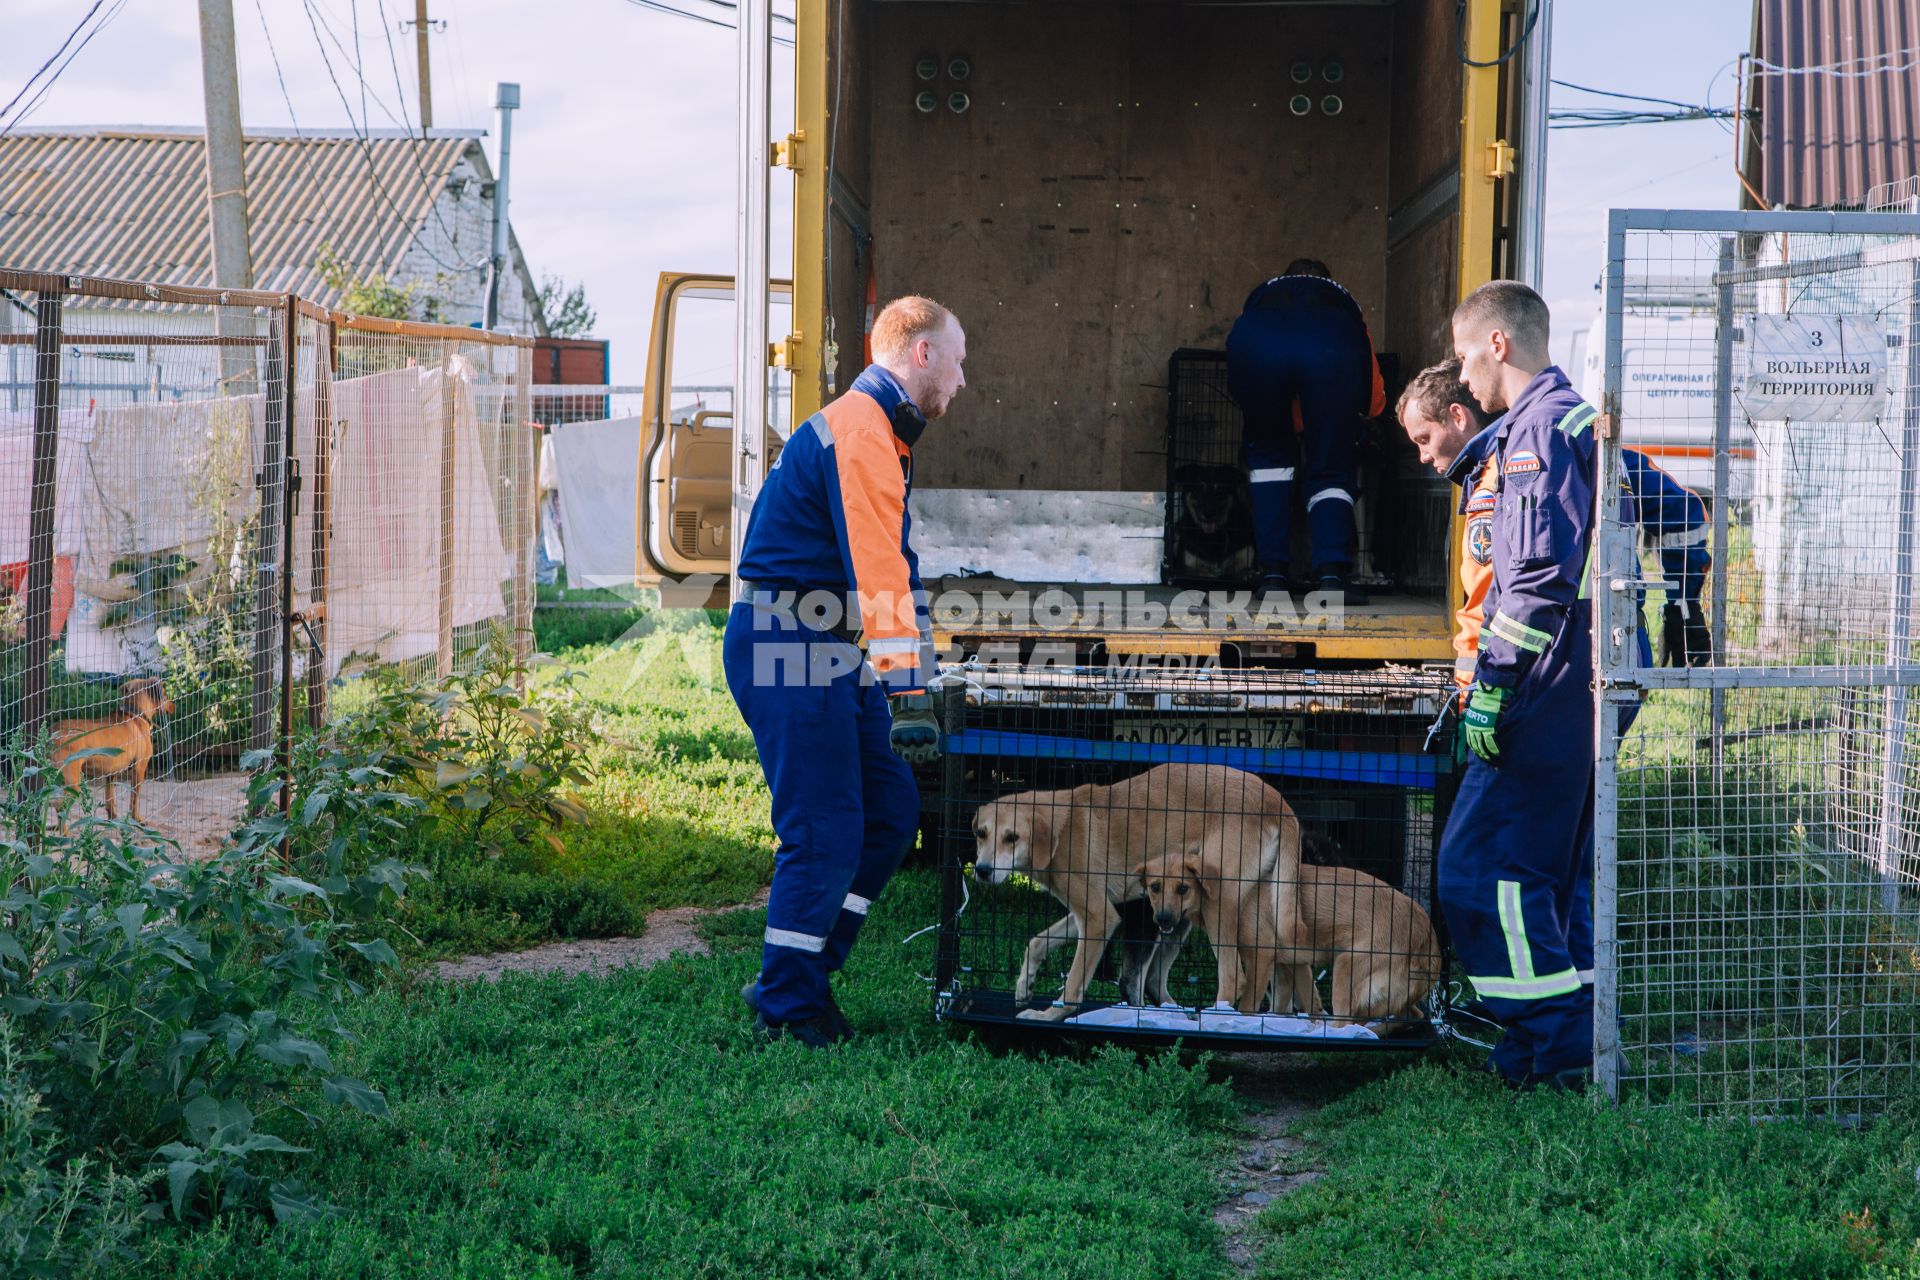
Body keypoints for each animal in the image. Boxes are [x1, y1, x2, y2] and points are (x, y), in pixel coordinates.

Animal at [48, 675, 172, 825]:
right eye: (164, 694)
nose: (174, 706)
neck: (136, 714)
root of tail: (53, 732)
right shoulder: (139, 769)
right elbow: (134, 799)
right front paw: (136, 819)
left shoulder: (111, 773)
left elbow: (110, 799)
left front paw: (113, 818)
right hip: (71, 780)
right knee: (60, 807)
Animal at [975, 767, 1305, 1028]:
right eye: (981, 834)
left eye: (1012, 837)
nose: (981, 870)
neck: (1062, 828)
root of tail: (1277, 801)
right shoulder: (1093, 913)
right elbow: (1038, 941)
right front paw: (1024, 985)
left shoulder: (1099, 917)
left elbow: (1073, 983)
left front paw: (1048, 1016)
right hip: (1181, 916)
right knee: (1159, 979)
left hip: (1215, 904)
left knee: (1233, 976)